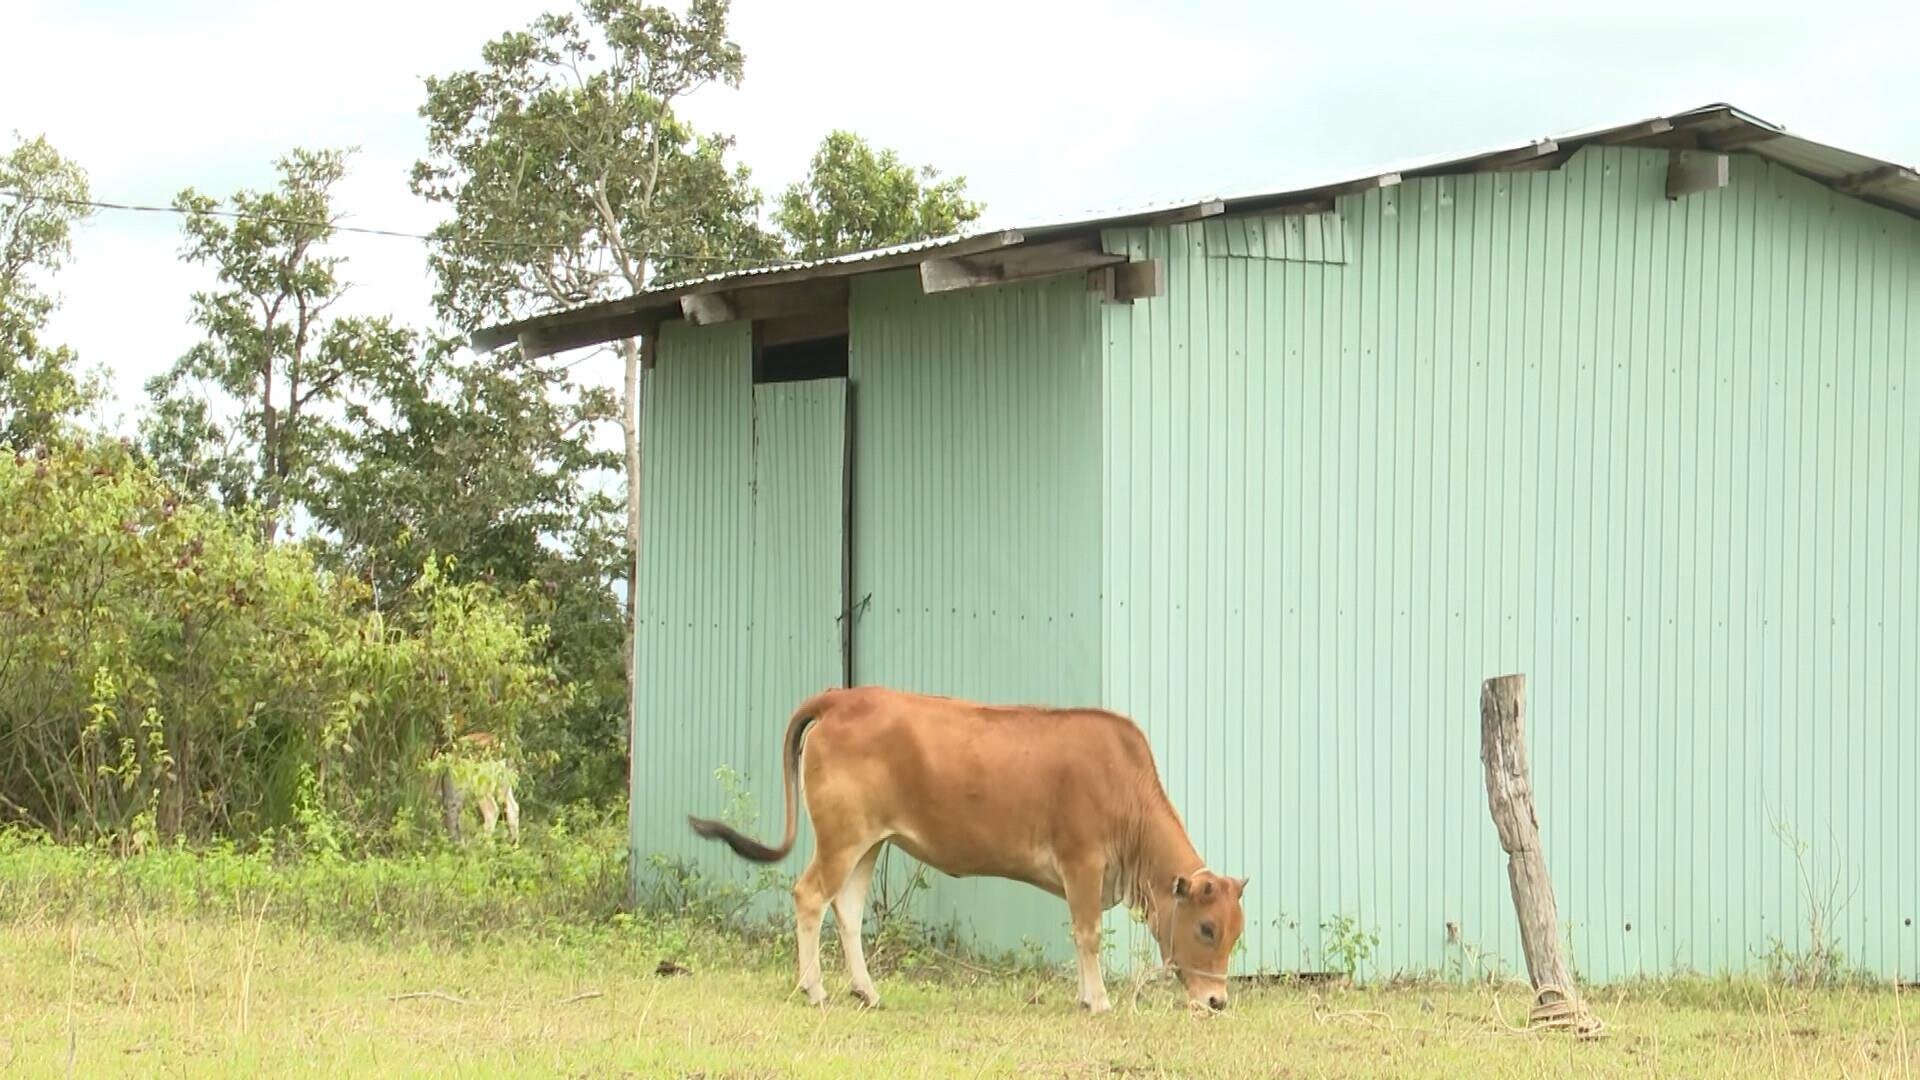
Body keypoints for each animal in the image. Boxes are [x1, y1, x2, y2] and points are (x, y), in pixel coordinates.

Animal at [691, 687, 1244, 1006]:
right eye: (1207, 928)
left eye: (1236, 933)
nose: (1217, 1001)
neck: (1128, 795)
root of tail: (840, 698)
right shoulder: (1082, 862)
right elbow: (1086, 935)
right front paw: (1099, 1000)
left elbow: (1078, 935)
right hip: (841, 838)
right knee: (809, 897)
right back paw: (815, 989)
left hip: (868, 842)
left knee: (846, 910)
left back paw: (866, 990)